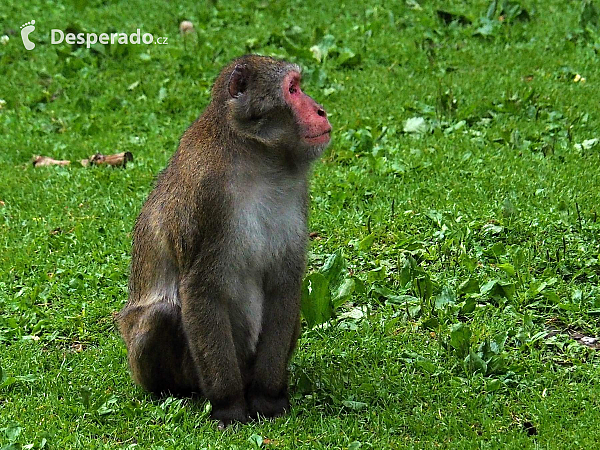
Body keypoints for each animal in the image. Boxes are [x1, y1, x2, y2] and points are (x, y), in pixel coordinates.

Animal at [117, 54, 332, 428]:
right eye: (293, 90)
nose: (320, 110)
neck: (256, 158)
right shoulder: (206, 195)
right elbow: (201, 290)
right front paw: (230, 407)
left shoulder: (297, 191)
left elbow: (285, 282)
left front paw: (268, 398)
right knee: (161, 315)